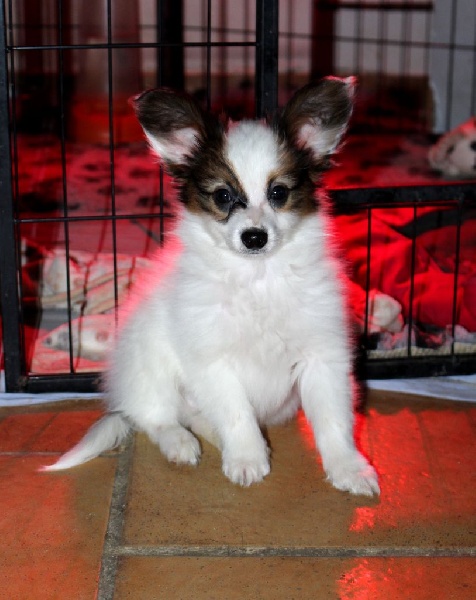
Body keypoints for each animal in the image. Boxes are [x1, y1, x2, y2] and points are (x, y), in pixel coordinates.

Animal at [43, 77, 379, 496]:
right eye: (222, 195)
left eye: (279, 193)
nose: (254, 237)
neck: (258, 278)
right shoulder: (211, 361)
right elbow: (236, 414)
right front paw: (247, 458)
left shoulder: (323, 356)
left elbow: (334, 419)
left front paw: (349, 468)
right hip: (147, 365)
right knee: (154, 416)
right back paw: (181, 442)